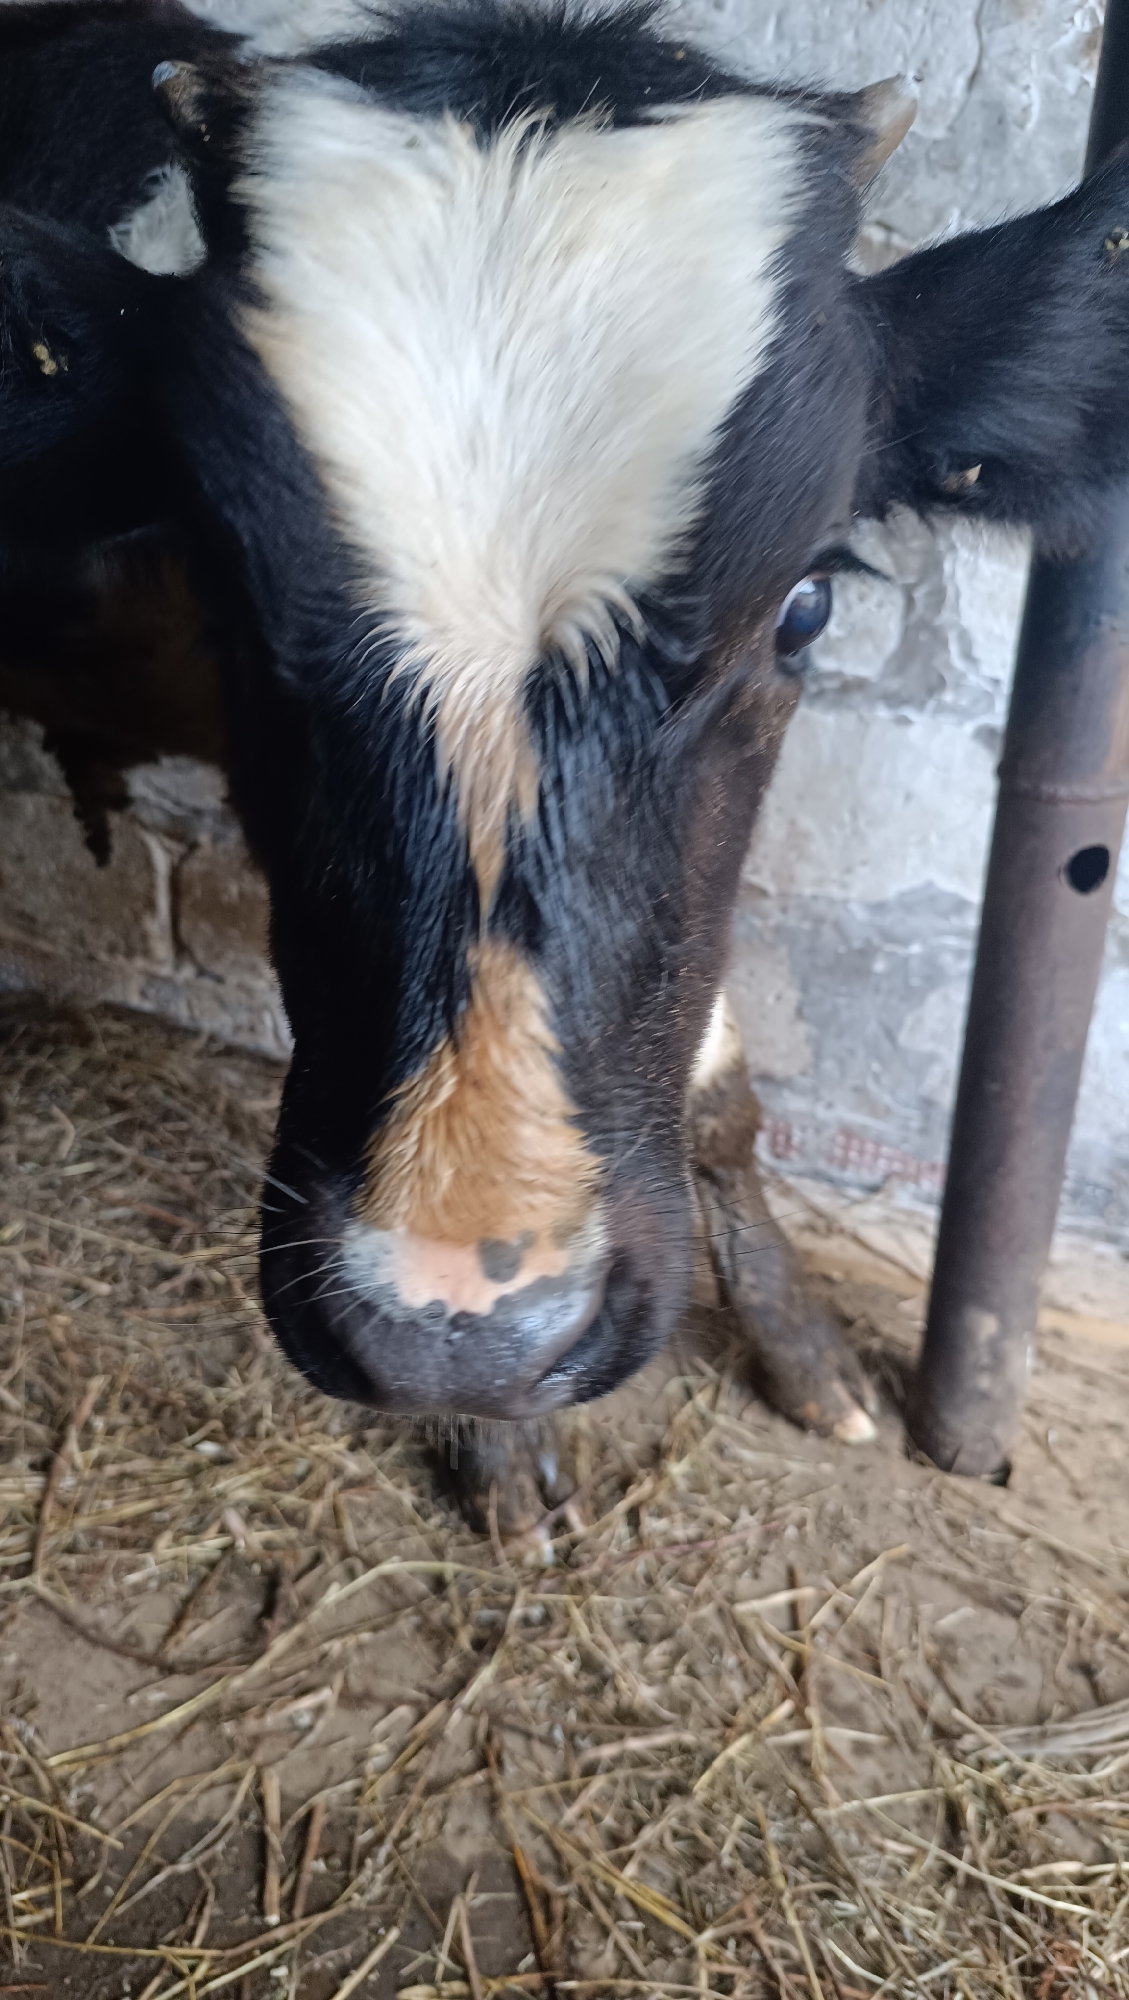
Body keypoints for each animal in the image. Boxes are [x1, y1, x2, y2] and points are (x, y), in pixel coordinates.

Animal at [3, 0, 1129, 1531]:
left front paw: (804, 1353)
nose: (459, 1332)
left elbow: (713, 1086)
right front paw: (486, 1438)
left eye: (804, 606)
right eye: (226, 596)